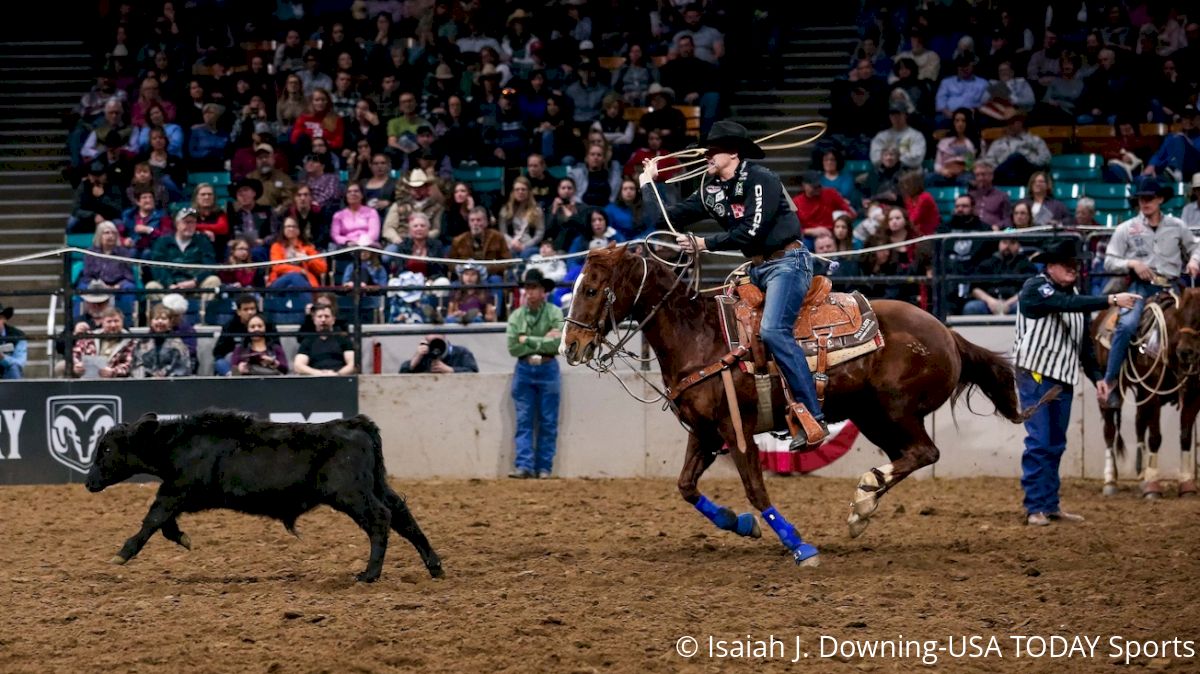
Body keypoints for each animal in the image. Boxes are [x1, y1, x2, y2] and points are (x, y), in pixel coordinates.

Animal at [556, 243, 1027, 563]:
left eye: (593, 289)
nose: (570, 346)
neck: (700, 334)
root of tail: (947, 333)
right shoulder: (705, 431)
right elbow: (686, 487)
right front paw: (740, 525)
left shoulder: (736, 430)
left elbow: (755, 488)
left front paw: (799, 545)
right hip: (872, 416)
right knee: (908, 456)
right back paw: (864, 504)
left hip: (894, 409)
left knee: (925, 452)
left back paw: (863, 494)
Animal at [1089, 285, 1200, 496]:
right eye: (1181, 315)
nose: (1186, 352)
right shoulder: (1152, 394)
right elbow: (1156, 437)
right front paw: (1153, 486)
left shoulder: (1192, 396)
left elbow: (1185, 437)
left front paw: (1186, 484)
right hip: (1108, 389)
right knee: (1109, 430)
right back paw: (1110, 481)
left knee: (1139, 423)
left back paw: (1140, 476)